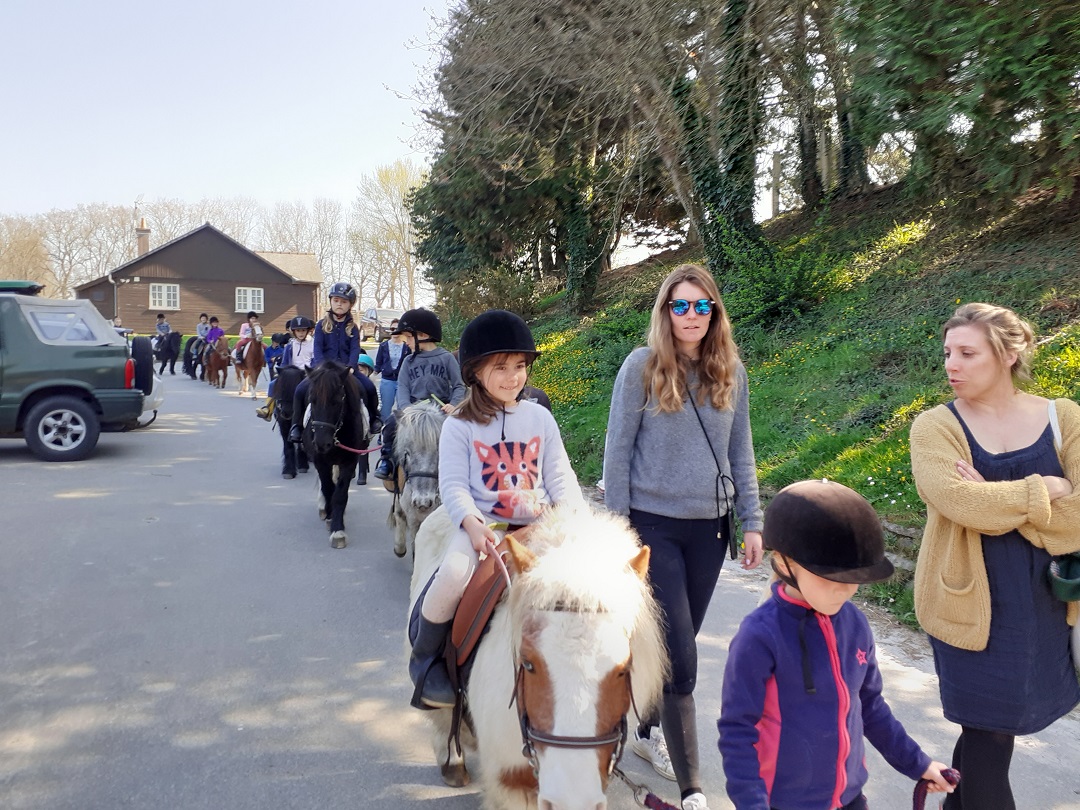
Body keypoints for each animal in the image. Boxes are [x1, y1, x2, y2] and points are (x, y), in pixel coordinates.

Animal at [300, 361, 369, 549]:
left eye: (337, 401)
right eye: (312, 400)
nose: (322, 443)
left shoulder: (349, 461)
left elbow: (340, 494)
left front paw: (338, 530)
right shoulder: (320, 461)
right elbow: (328, 488)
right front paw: (330, 517)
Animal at [387, 400, 447, 559]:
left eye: (440, 452)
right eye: (406, 453)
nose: (423, 501)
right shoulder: (413, 518)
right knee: (398, 513)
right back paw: (399, 547)